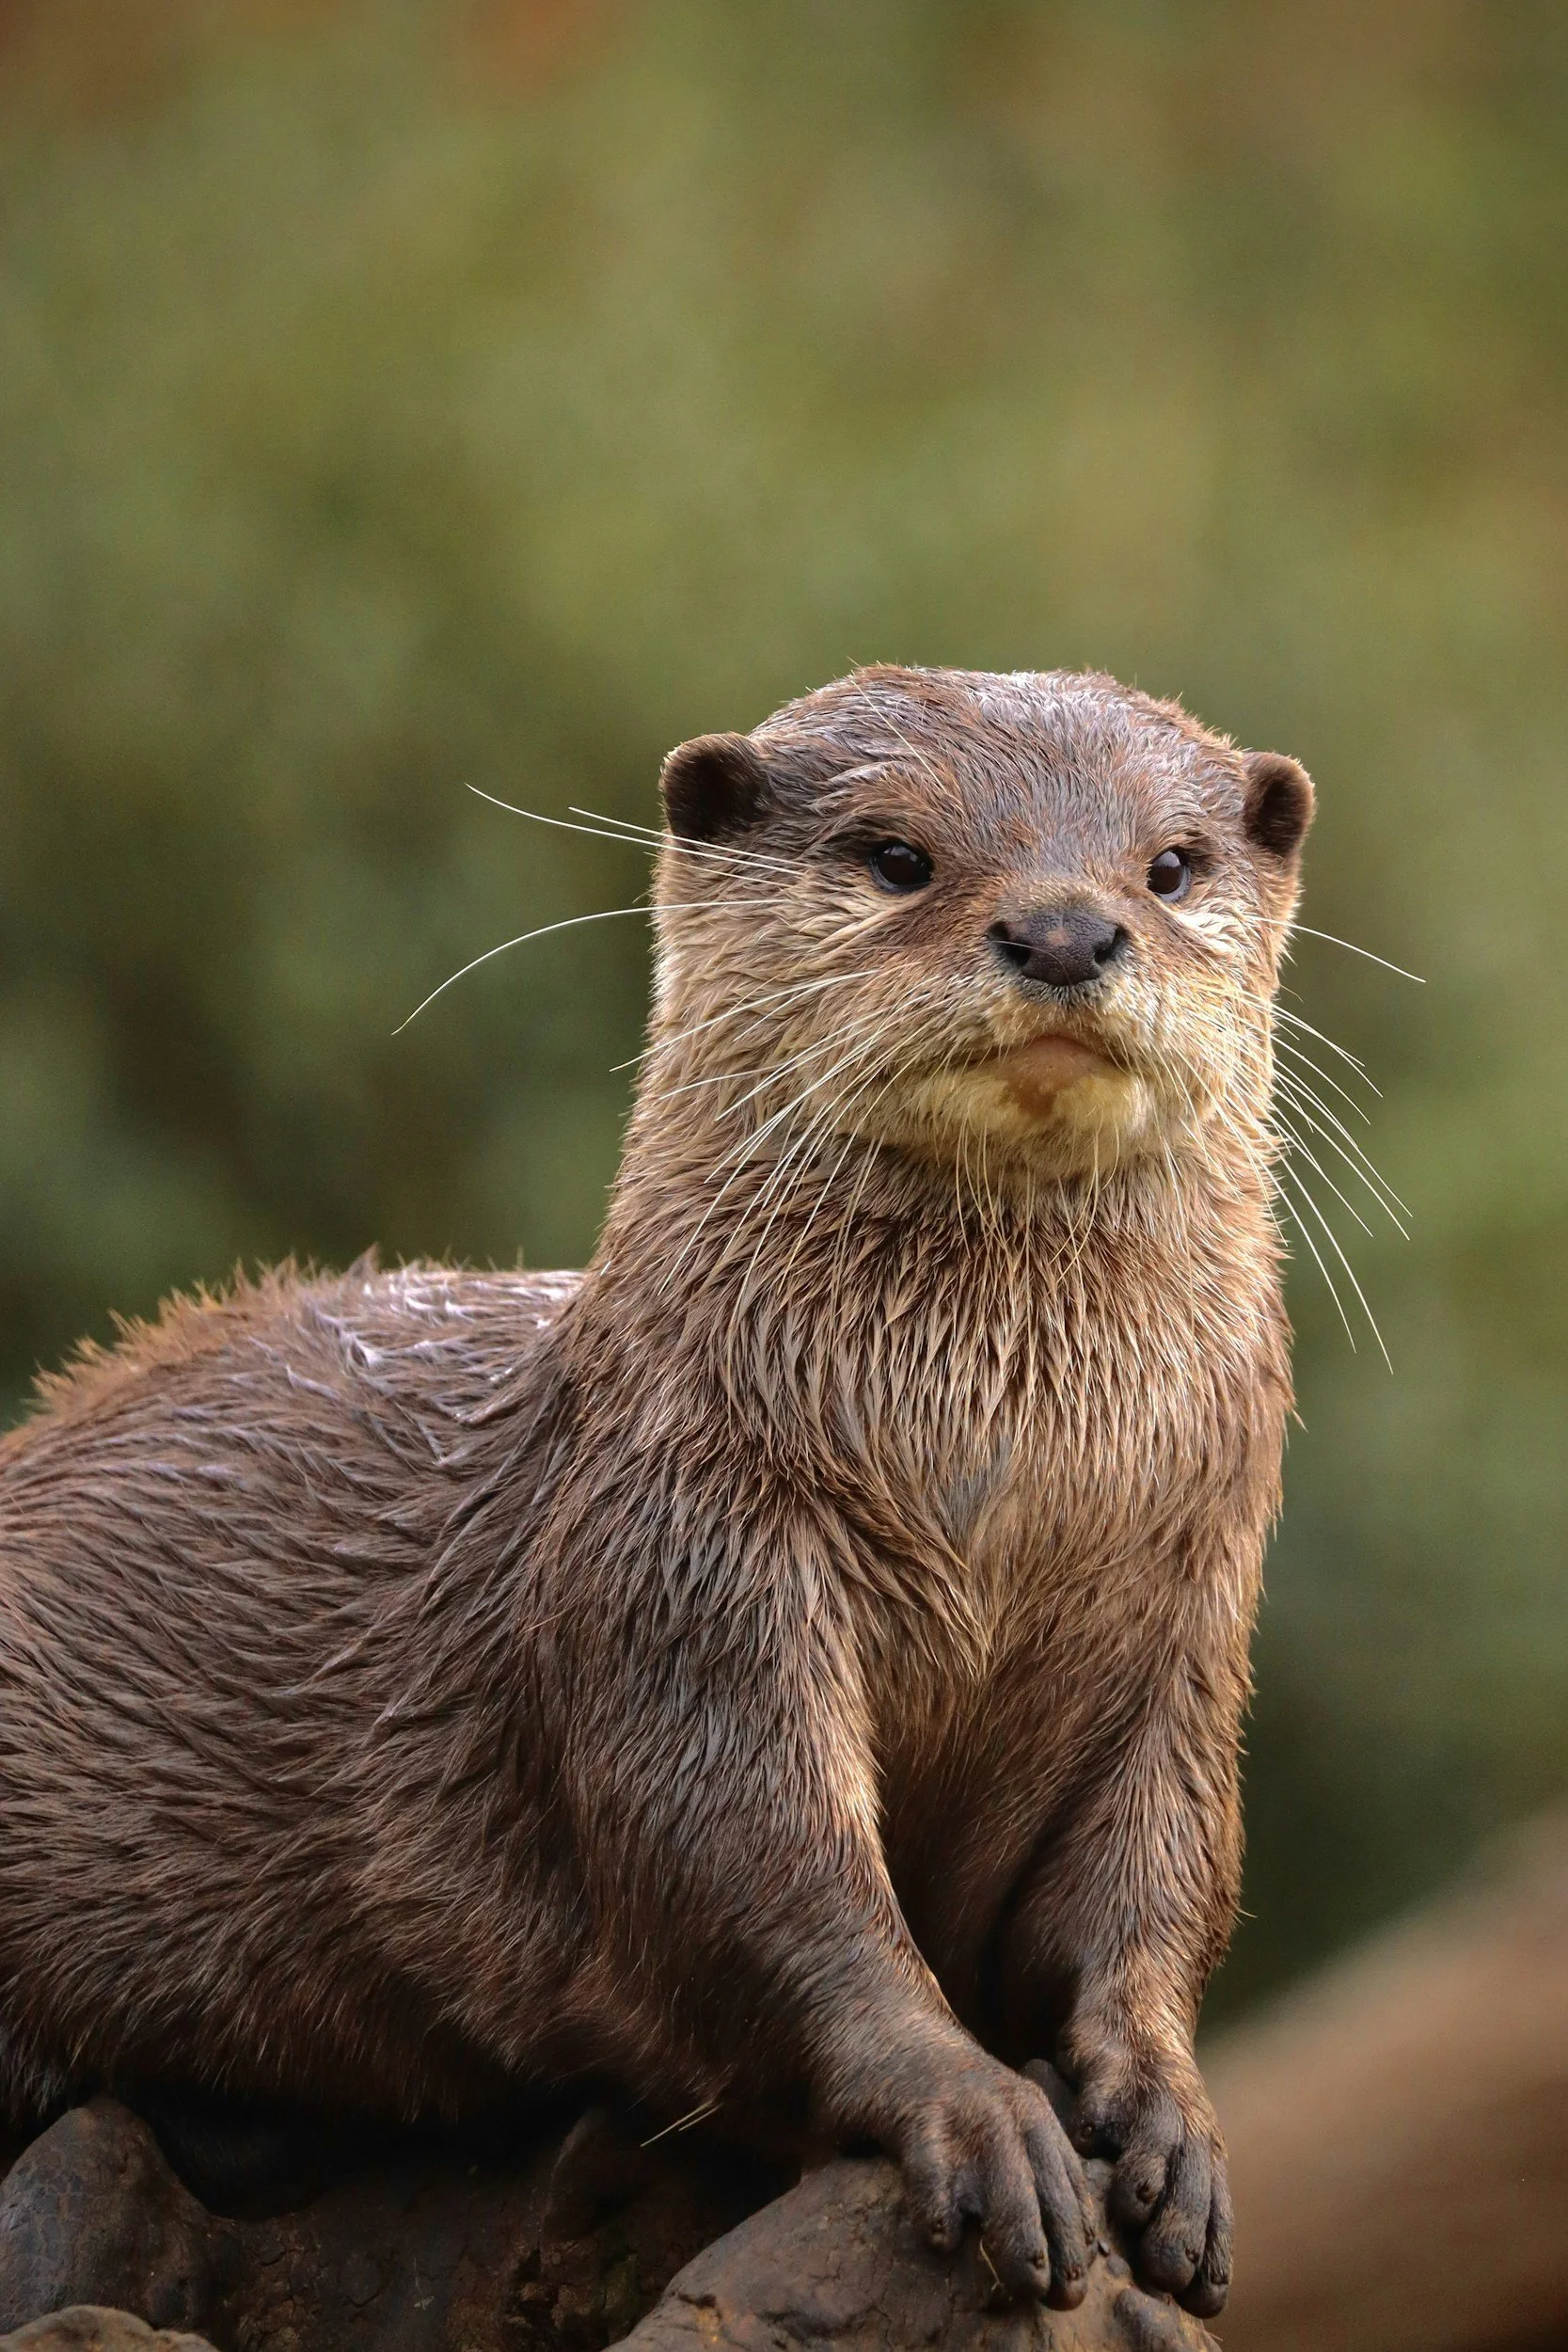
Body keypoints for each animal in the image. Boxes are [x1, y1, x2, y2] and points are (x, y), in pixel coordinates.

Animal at [0, 667, 1312, 2318]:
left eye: (1169, 866)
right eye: (897, 856)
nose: (1068, 930)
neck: (996, 1491)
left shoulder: (1185, 1624)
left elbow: (1154, 1883)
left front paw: (1166, 2117)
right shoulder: (684, 1562)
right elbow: (752, 1872)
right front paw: (978, 2112)